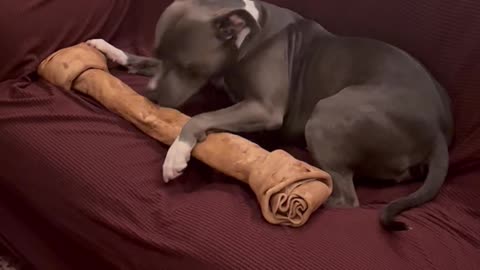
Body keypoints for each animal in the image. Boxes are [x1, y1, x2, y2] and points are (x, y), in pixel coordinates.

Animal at [87, 0, 454, 231]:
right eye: (159, 52)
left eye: (188, 67)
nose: (151, 97)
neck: (242, 35)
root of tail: (438, 133)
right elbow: (138, 60)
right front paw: (108, 49)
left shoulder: (263, 108)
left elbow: (200, 118)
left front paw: (176, 155)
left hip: (327, 114)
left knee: (346, 199)